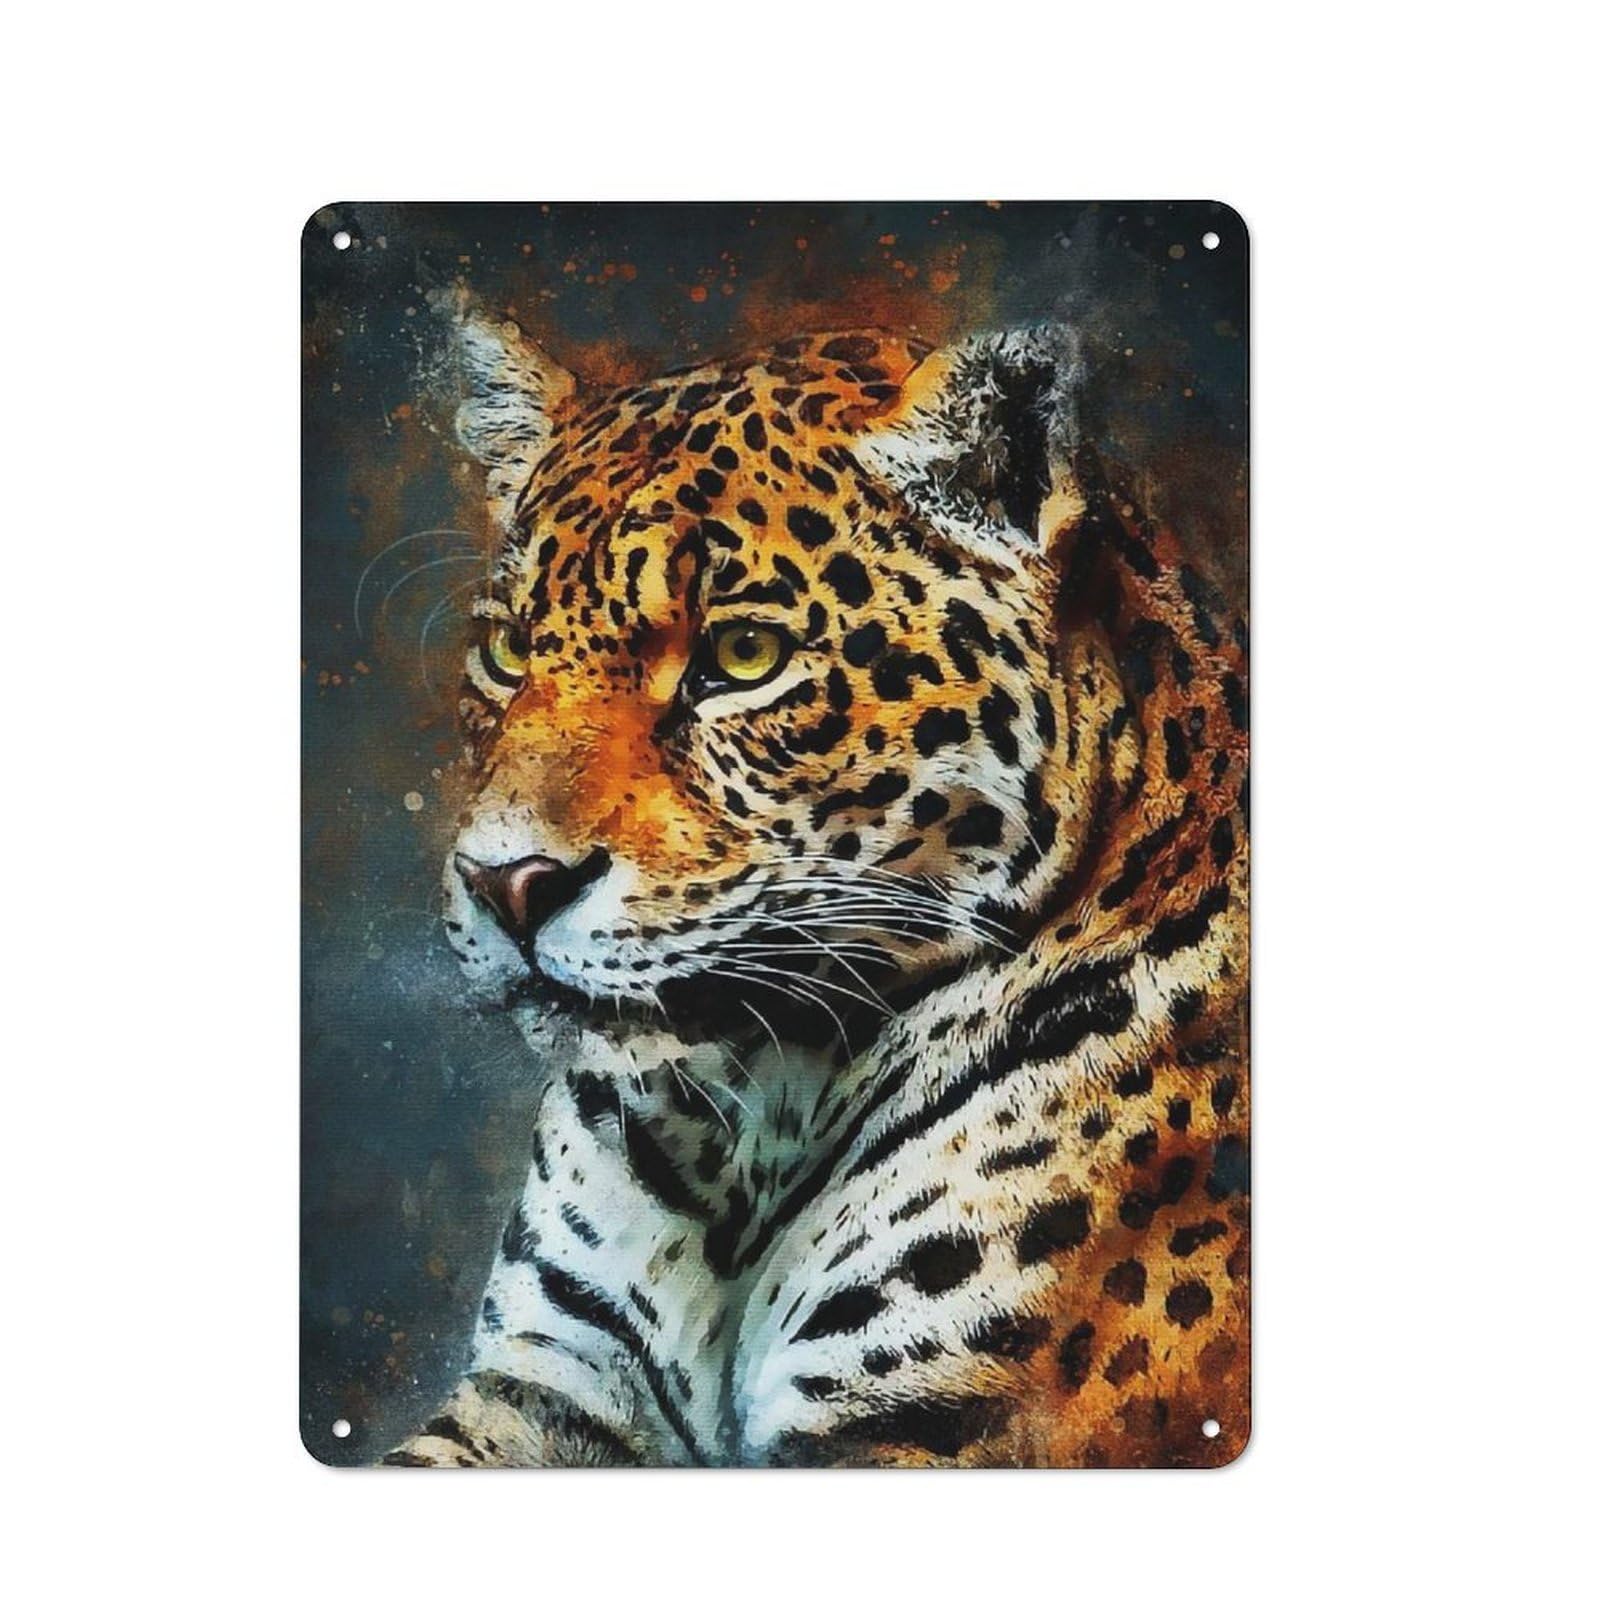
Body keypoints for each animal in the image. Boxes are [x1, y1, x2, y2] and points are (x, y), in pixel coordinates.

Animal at [383, 306, 1249, 1467]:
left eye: (744, 655)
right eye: (509, 649)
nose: (505, 882)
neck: (746, 1120)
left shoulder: (929, 1423)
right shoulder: (540, 1384)